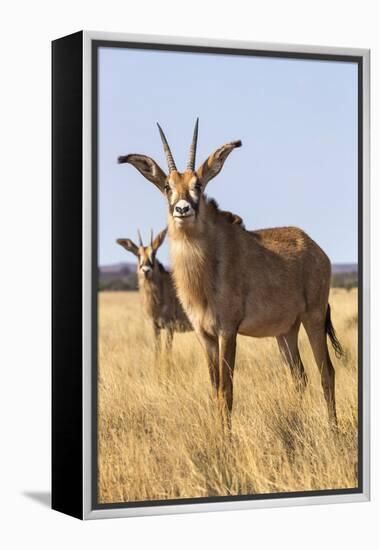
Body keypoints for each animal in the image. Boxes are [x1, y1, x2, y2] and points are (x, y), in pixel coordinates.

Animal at [119, 119, 344, 426]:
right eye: (167, 186)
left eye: (198, 184)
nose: (182, 209)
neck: (206, 265)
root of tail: (316, 249)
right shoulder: (204, 335)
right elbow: (214, 389)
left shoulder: (227, 331)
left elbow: (227, 391)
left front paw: (226, 436)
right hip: (286, 331)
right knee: (299, 376)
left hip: (314, 317)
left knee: (326, 372)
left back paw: (333, 429)